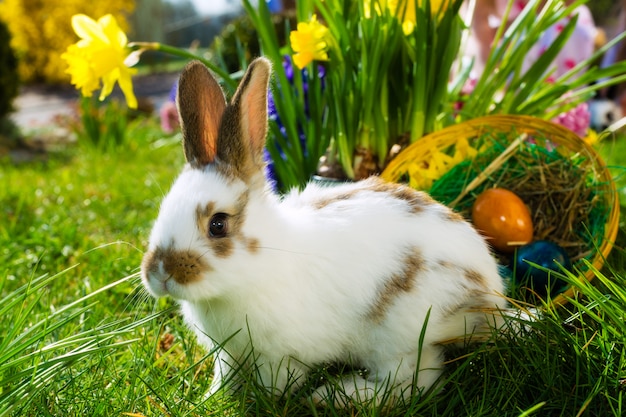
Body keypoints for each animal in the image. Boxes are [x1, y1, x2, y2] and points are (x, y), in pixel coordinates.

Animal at [143, 58, 512, 406]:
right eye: (162, 211)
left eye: (218, 224)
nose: (160, 273)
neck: (263, 262)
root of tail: (491, 296)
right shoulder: (227, 353)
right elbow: (225, 377)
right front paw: (210, 398)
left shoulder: (280, 356)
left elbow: (275, 383)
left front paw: (264, 400)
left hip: (400, 337)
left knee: (415, 382)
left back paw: (338, 395)